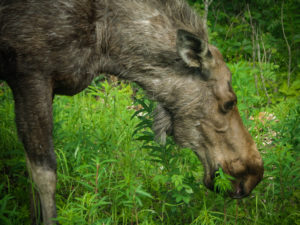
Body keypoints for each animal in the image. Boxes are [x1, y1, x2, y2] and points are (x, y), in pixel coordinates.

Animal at [0, 0, 262, 224]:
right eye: (229, 102)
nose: (254, 174)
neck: (104, 44)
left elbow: (31, 171)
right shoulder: (31, 74)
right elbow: (44, 173)